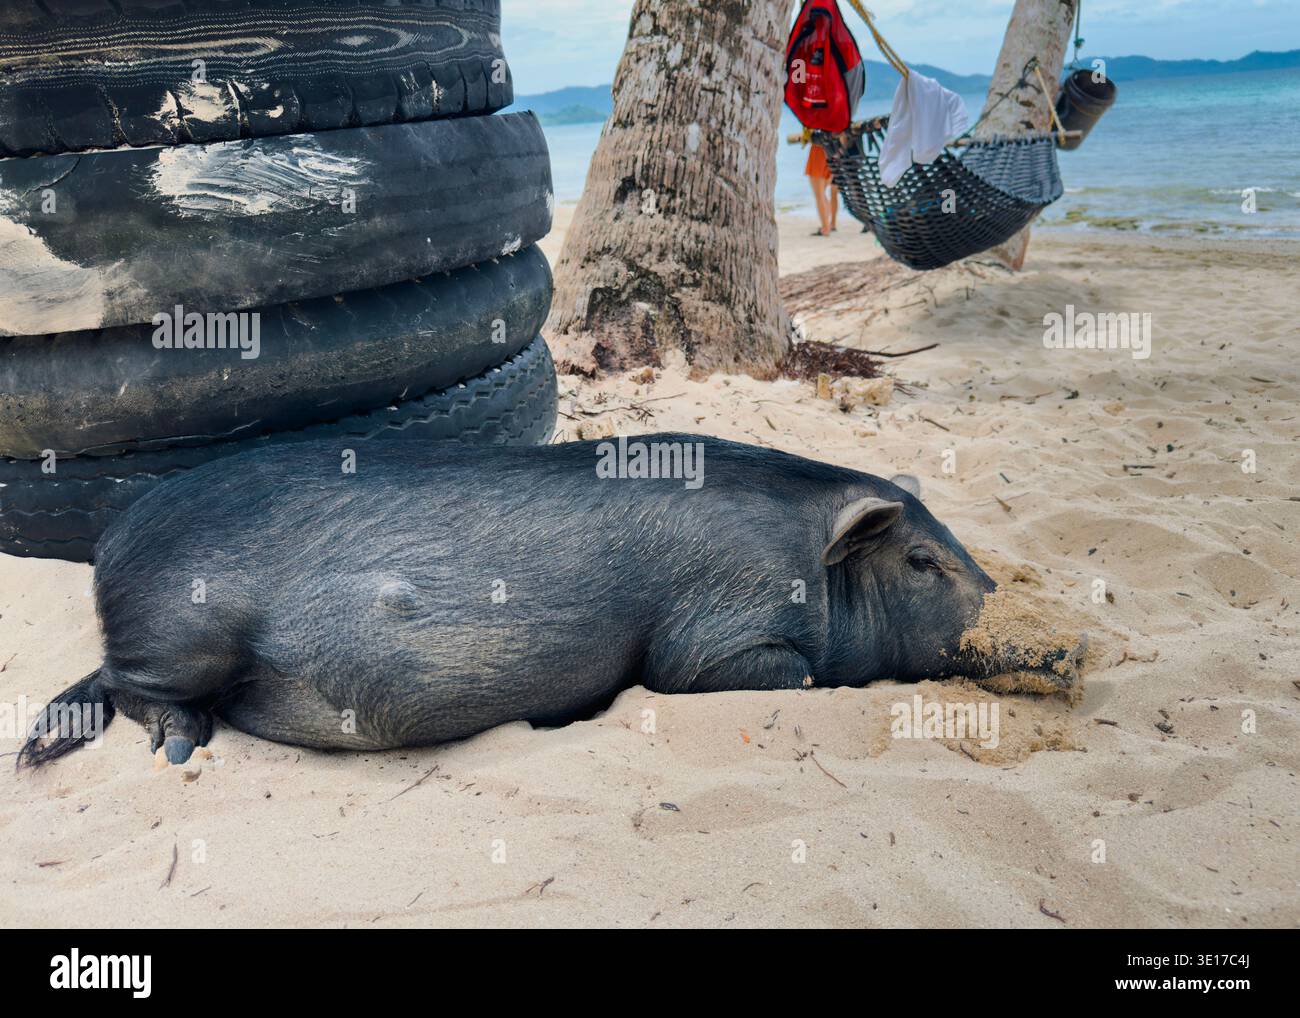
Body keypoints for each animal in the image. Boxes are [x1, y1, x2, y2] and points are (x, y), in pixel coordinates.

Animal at [19, 434, 1080, 767]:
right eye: (922, 564)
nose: (1073, 647)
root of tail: (111, 540)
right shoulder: (715, 640)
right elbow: (771, 675)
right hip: (183, 629)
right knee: (130, 682)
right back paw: (171, 748)